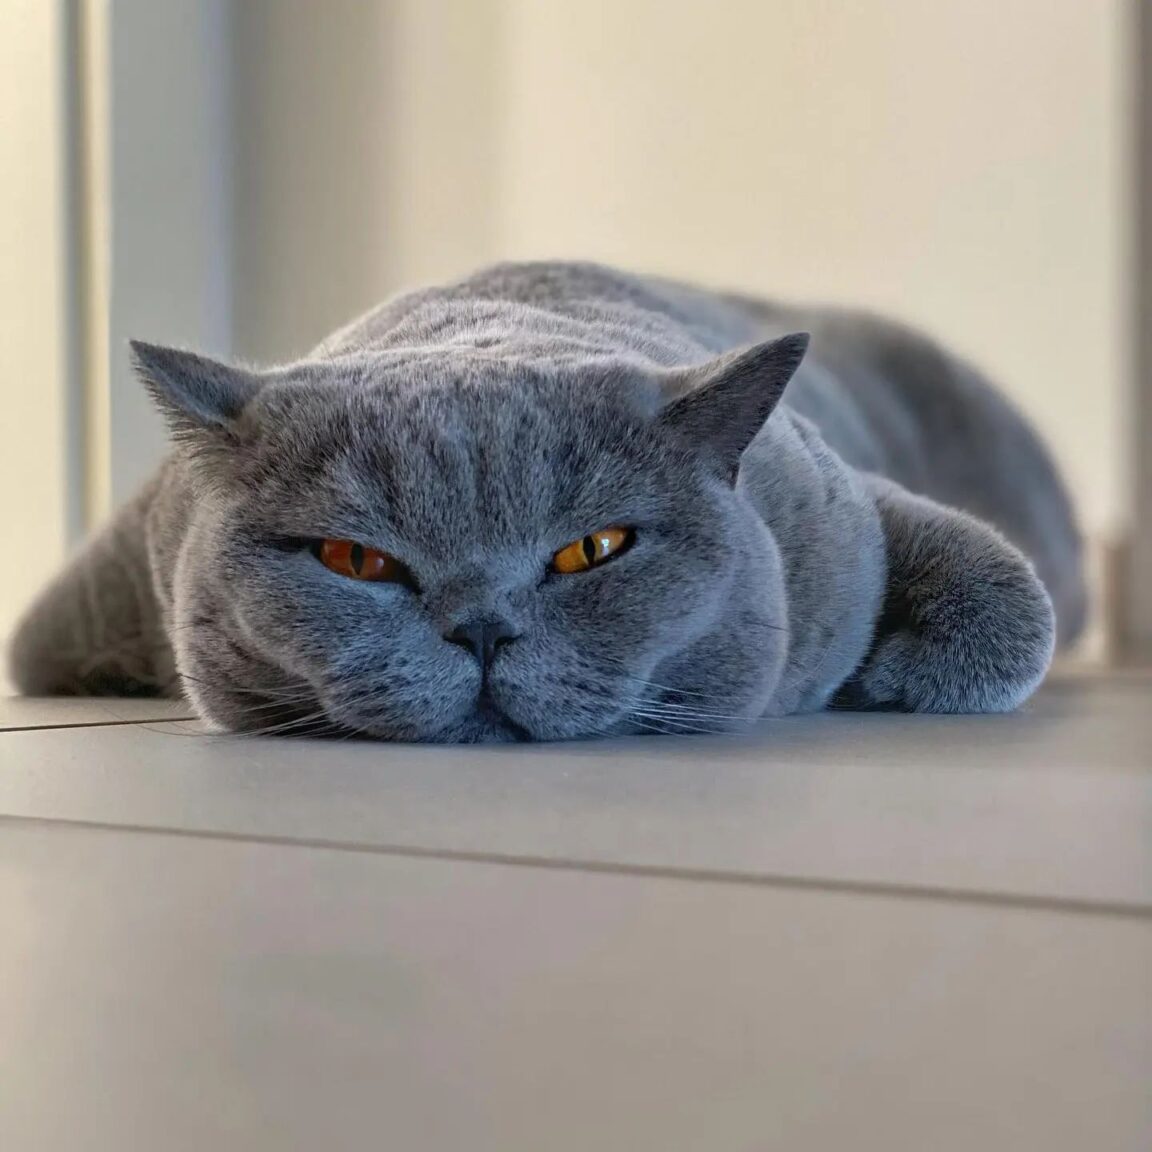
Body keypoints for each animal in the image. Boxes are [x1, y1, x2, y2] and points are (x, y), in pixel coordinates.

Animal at [9, 262, 1082, 741]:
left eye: (592, 549)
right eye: (356, 560)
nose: (482, 628)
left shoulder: (841, 505)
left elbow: (1010, 599)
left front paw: (883, 678)